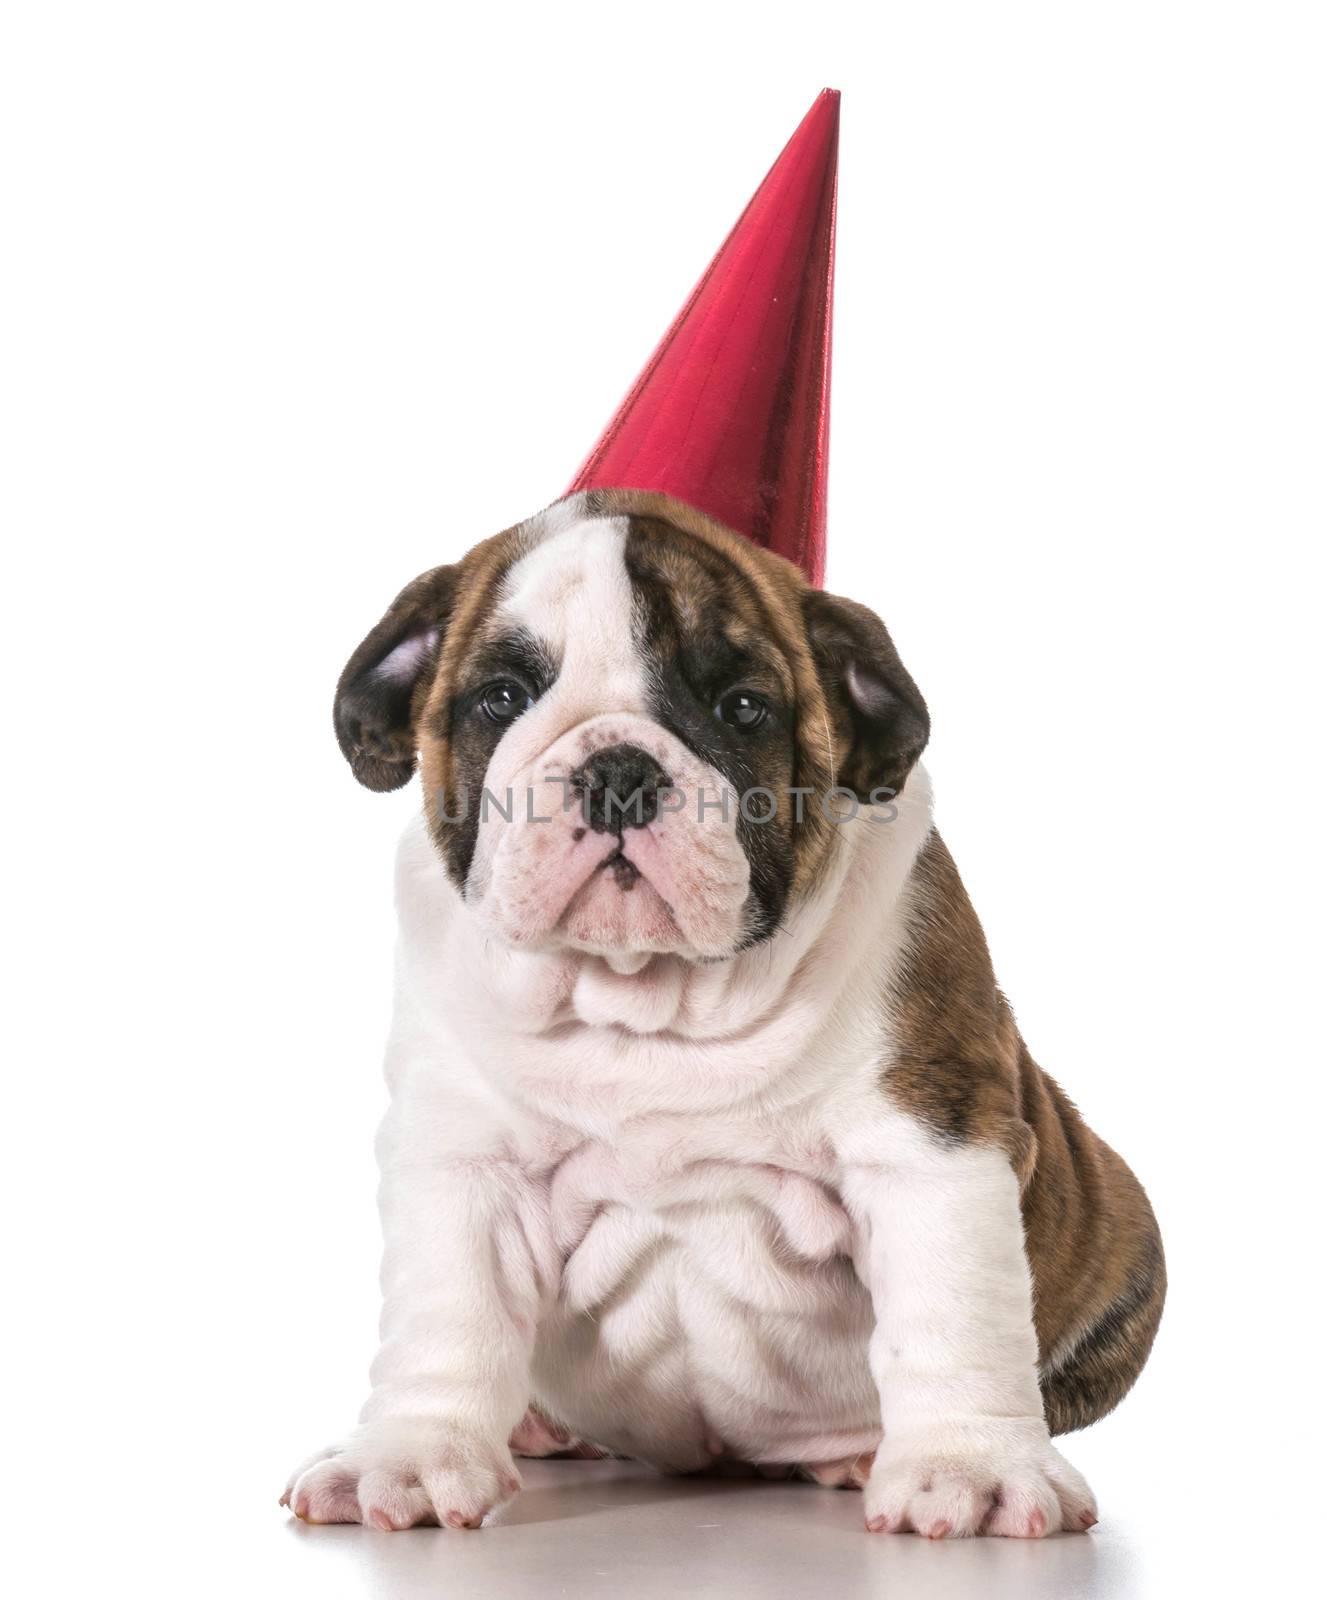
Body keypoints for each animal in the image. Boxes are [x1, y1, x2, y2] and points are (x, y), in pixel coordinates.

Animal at [281, 486, 1158, 1536]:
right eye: (500, 697)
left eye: (742, 708)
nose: (618, 770)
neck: (647, 1000)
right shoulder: (464, 1161)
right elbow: (445, 1312)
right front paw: (408, 1454)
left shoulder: (930, 1143)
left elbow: (950, 1310)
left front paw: (970, 1468)